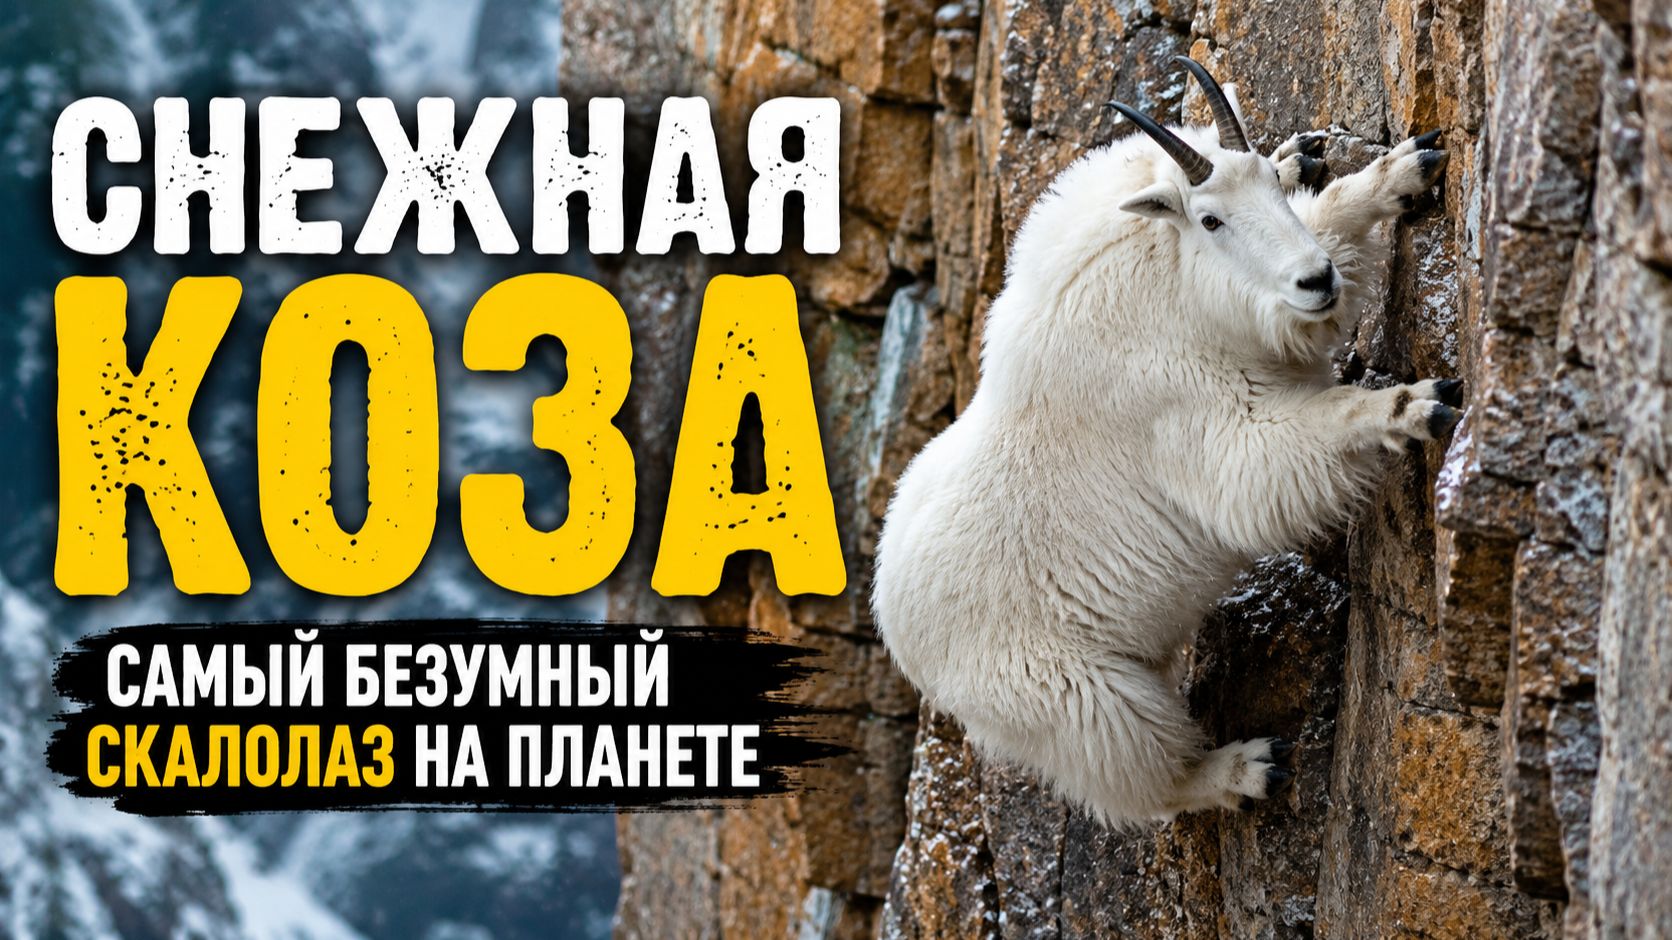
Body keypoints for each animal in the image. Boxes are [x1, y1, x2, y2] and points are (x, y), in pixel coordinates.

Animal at [871, 56, 1457, 825]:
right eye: (1209, 219)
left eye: (1267, 190)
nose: (1317, 280)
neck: (1163, 279)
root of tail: (894, 628)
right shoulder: (1190, 416)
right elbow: (1269, 468)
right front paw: (1414, 404)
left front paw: (1391, 167)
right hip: (1071, 693)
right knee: (1143, 775)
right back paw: (1247, 767)